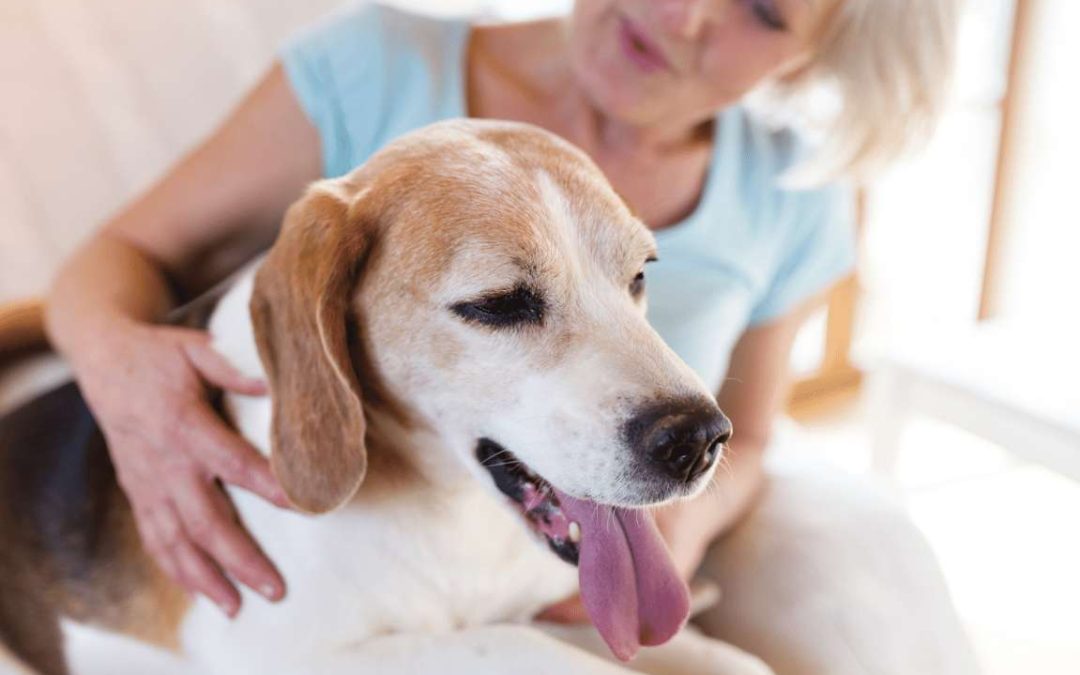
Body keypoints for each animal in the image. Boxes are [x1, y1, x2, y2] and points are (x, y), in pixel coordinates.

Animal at [0, 120, 768, 673]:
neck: (453, 519)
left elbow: (739, 661)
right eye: (498, 304)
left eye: (639, 274)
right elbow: (529, 650)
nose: (699, 439)